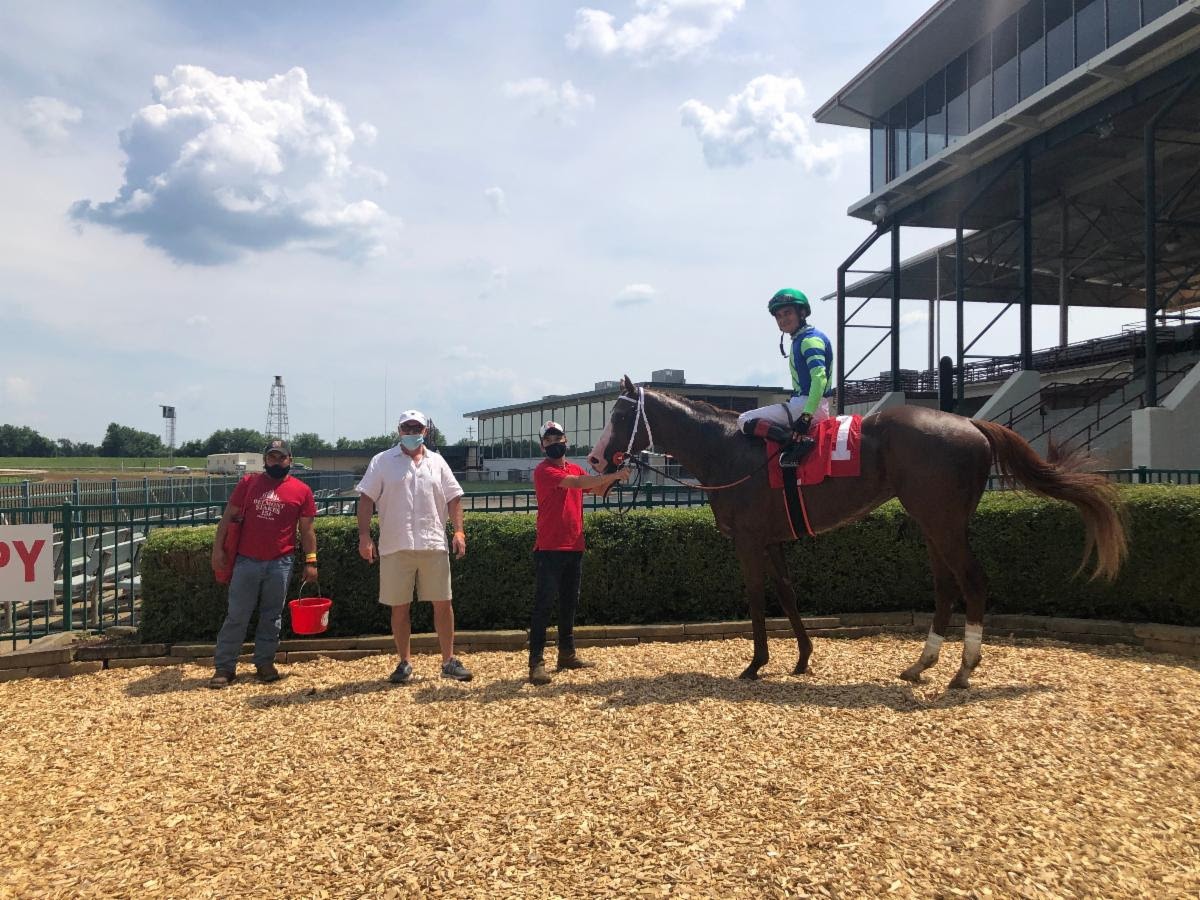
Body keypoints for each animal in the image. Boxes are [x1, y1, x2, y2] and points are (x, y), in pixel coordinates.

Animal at [590, 374, 1123, 691]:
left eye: (619, 415)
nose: (595, 460)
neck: (728, 450)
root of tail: (970, 423)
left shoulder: (748, 541)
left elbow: (759, 597)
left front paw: (756, 663)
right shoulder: (773, 540)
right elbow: (788, 593)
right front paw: (802, 657)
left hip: (943, 522)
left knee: (972, 582)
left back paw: (963, 669)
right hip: (934, 522)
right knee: (944, 586)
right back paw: (921, 664)